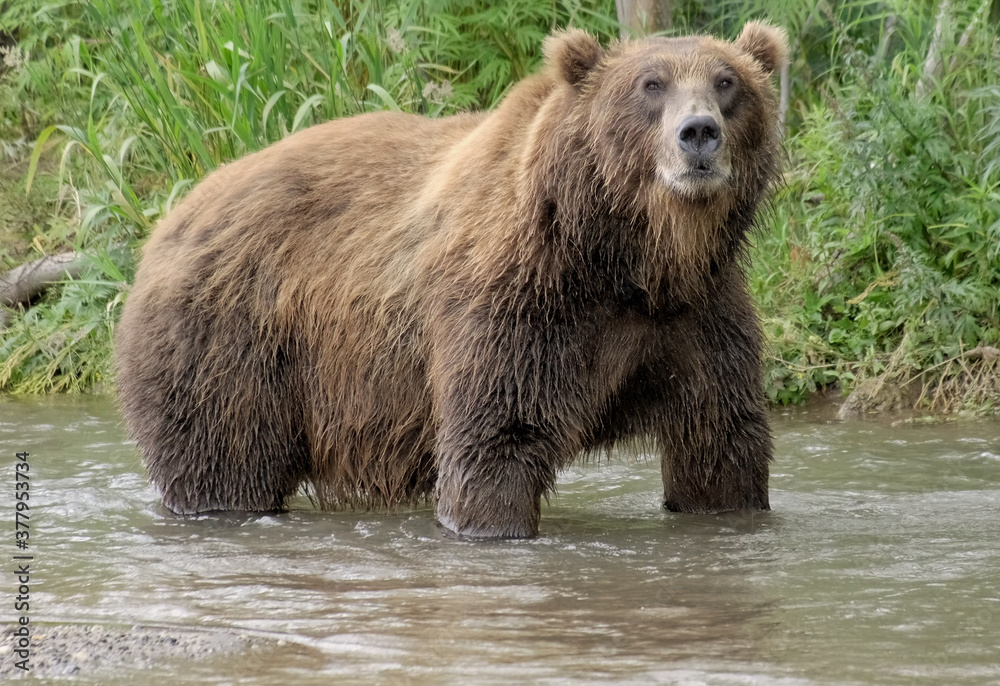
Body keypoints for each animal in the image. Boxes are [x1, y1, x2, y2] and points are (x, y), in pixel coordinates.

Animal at [117, 21, 788, 540]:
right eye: (651, 85)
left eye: (727, 82)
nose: (697, 132)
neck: (629, 256)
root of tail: (167, 222)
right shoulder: (520, 301)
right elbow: (496, 438)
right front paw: (491, 524)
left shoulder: (697, 315)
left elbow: (720, 440)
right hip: (230, 344)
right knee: (222, 462)